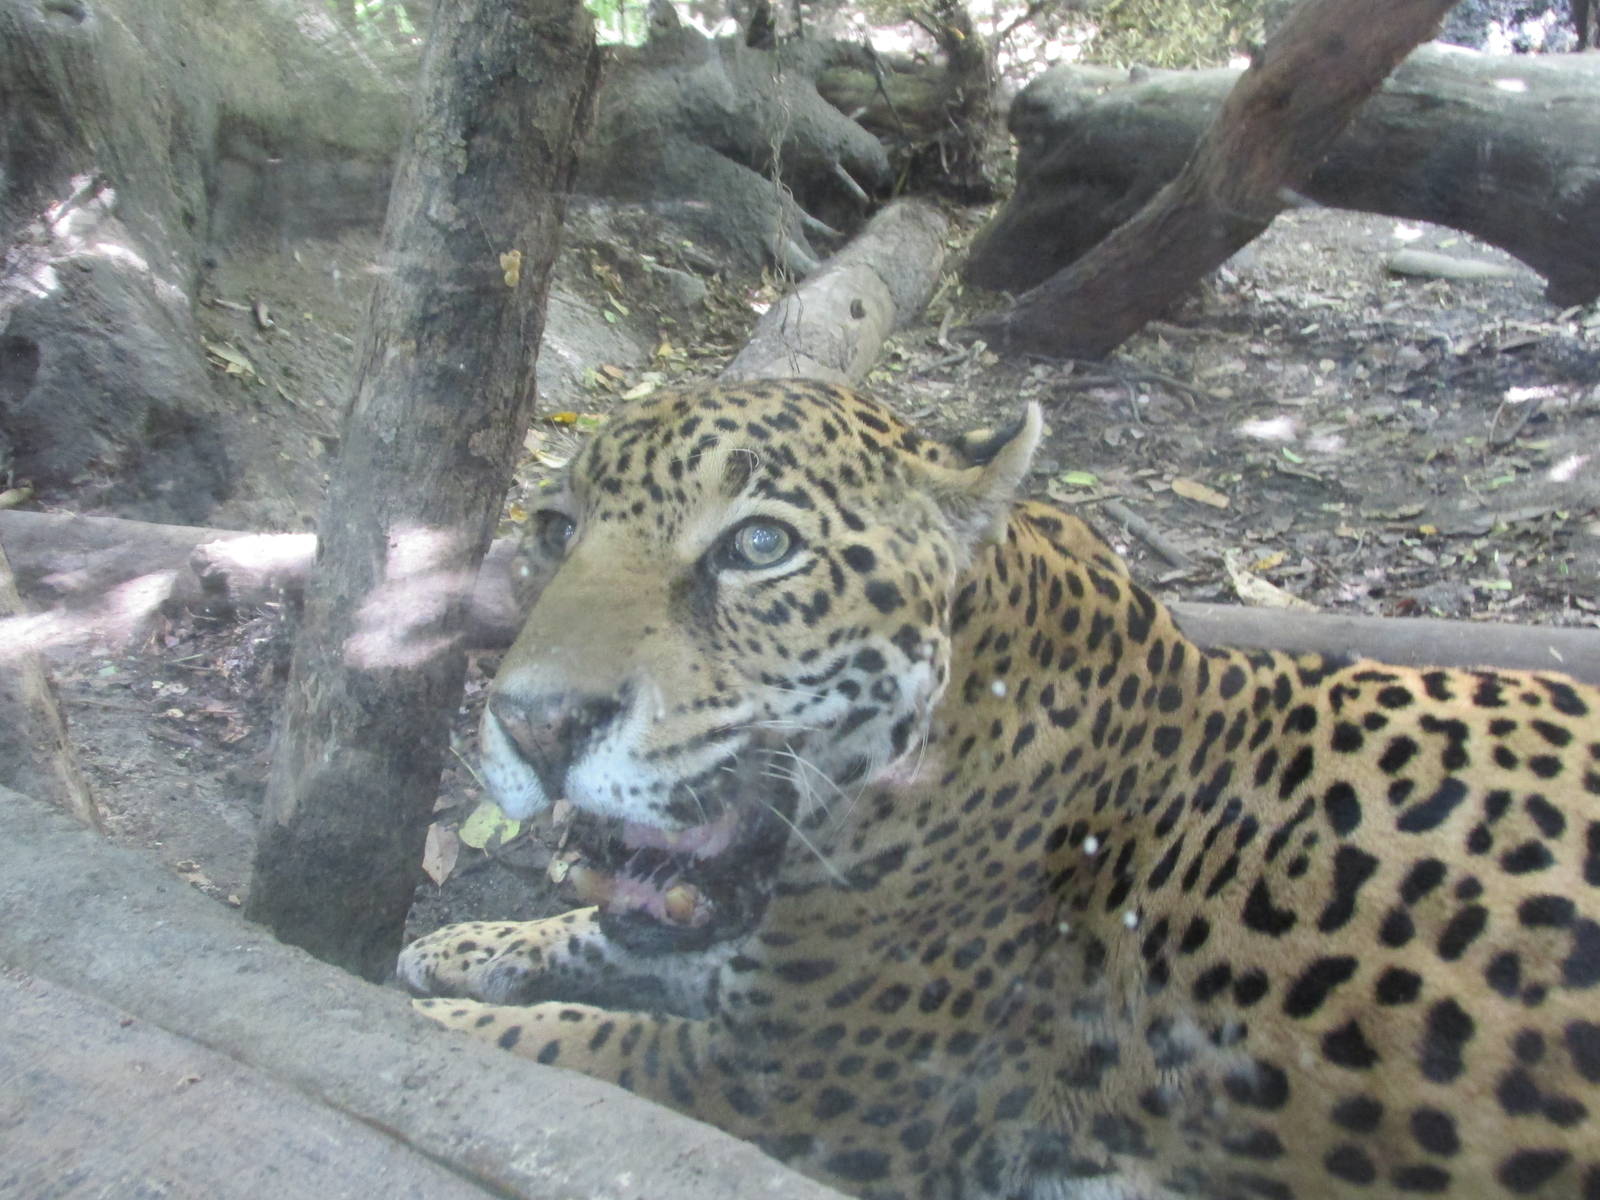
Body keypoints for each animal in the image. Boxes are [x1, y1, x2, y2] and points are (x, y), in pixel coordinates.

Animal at [400, 379, 1600, 1200]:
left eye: (759, 545)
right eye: (556, 529)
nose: (534, 724)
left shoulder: (781, 1081)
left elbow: (558, 1050)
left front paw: (442, 1017)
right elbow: (597, 938)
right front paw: (461, 947)